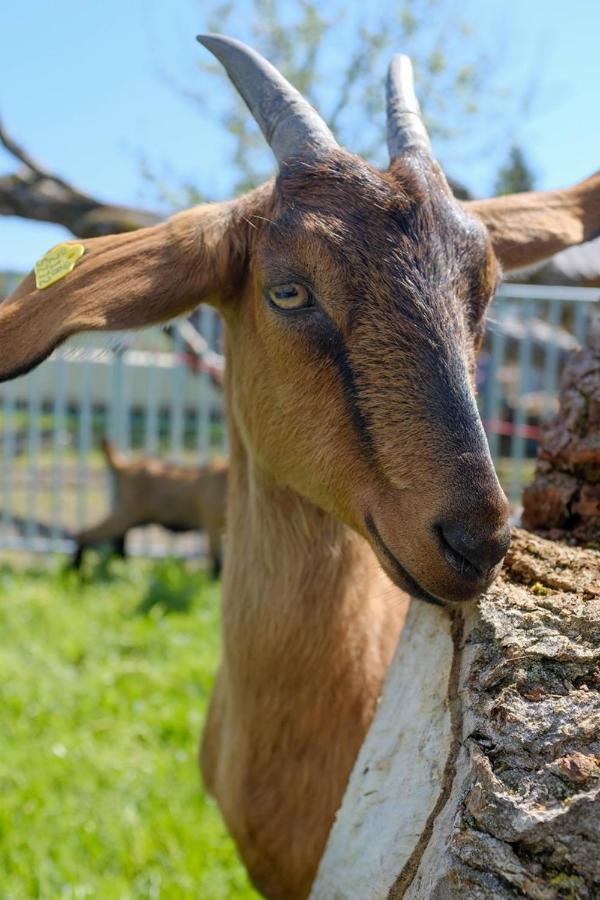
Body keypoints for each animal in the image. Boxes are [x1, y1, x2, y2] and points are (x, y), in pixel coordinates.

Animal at [71, 438, 226, 576]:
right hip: (125, 513)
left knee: (118, 542)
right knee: (86, 534)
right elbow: (217, 561)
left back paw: (124, 571)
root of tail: (124, 467)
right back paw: (77, 572)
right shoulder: (212, 525)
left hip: (132, 517)